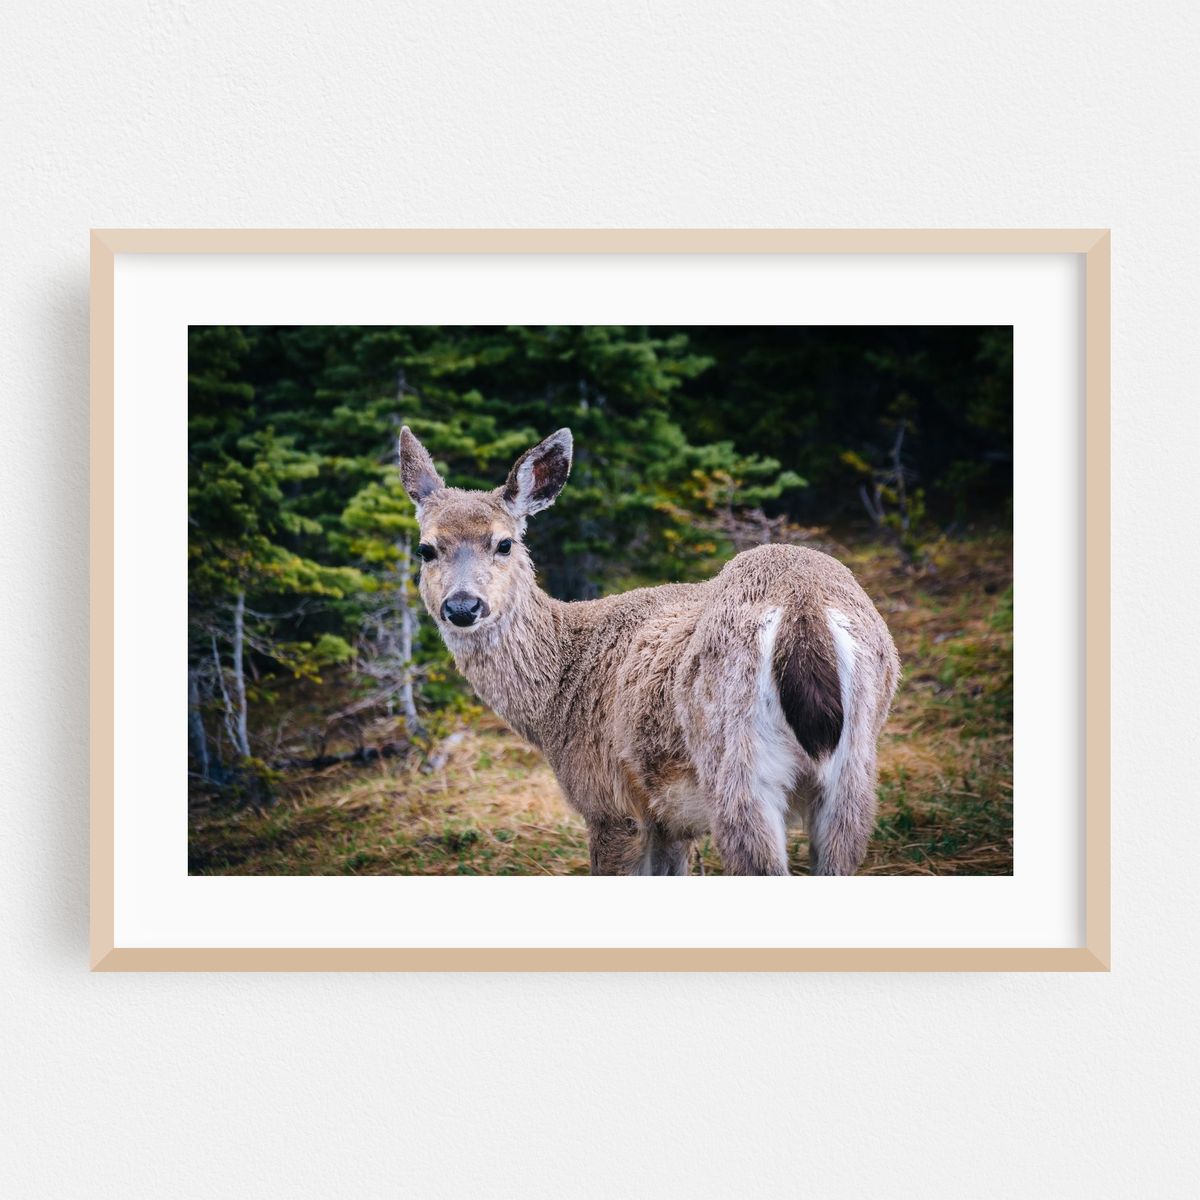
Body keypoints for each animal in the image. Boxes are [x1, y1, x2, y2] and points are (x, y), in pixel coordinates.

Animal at [399, 426, 900, 876]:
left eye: (503, 542)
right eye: (425, 549)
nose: (462, 606)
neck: (557, 693)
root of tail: (802, 604)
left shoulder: (610, 802)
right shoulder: (669, 822)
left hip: (736, 760)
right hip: (855, 764)